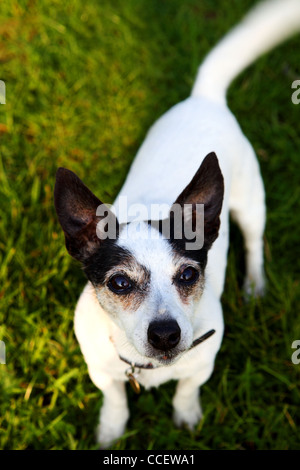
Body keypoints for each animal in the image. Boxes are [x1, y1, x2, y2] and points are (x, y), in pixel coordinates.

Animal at [54, 0, 300, 448]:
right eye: (119, 283)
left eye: (188, 275)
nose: (166, 335)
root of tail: (204, 96)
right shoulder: (101, 370)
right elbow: (115, 397)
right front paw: (111, 430)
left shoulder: (202, 364)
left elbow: (187, 389)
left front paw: (187, 417)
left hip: (251, 204)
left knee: (254, 242)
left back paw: (254, 285)